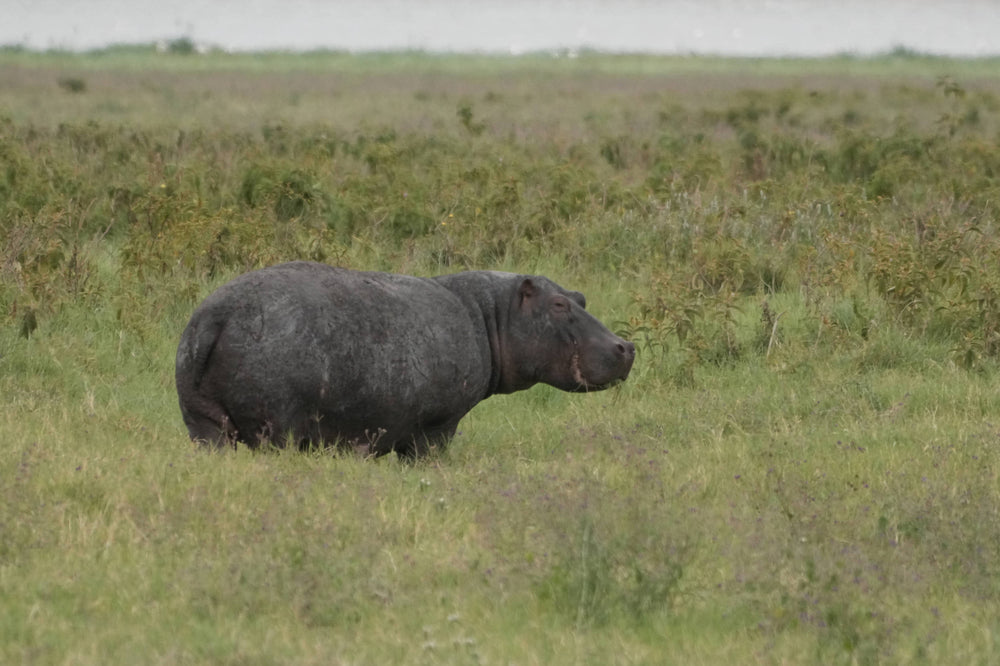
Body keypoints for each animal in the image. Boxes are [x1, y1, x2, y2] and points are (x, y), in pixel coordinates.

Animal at [175, 261, 634, 458]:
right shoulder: (438, 426)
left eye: (580, 297)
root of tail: (215, 315)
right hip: (276, 428)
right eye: (558, 304)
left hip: (205, 427)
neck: (491, 315)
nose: (626, 346)